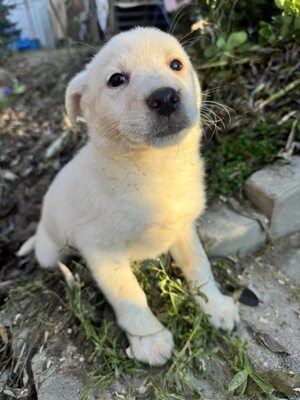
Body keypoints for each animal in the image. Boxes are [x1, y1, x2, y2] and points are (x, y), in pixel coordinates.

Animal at [18, 27, 239, 366]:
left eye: (176, 64)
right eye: (117, 79)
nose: (166, 98)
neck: (153, 169)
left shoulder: (184, 228)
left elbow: (199, 265)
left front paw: (215, 306)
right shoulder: (101, 252)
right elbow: (129, 294)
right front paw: (150, 340)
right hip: (50, 250)